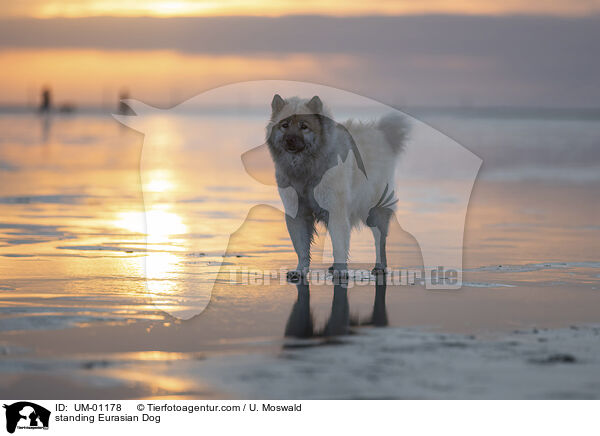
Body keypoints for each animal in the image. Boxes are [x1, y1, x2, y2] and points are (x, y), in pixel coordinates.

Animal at [266, 93, 408, 282]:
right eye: (285, 125)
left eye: (304, 126)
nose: (290, 140)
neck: (307, 168)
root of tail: (382, 134)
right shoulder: (298, 213)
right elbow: (301, 247)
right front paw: (300, 270)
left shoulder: (336, 210)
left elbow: (339, 244)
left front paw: (341, 271)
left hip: (373, 210)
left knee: (379, 239)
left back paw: (379, 266)